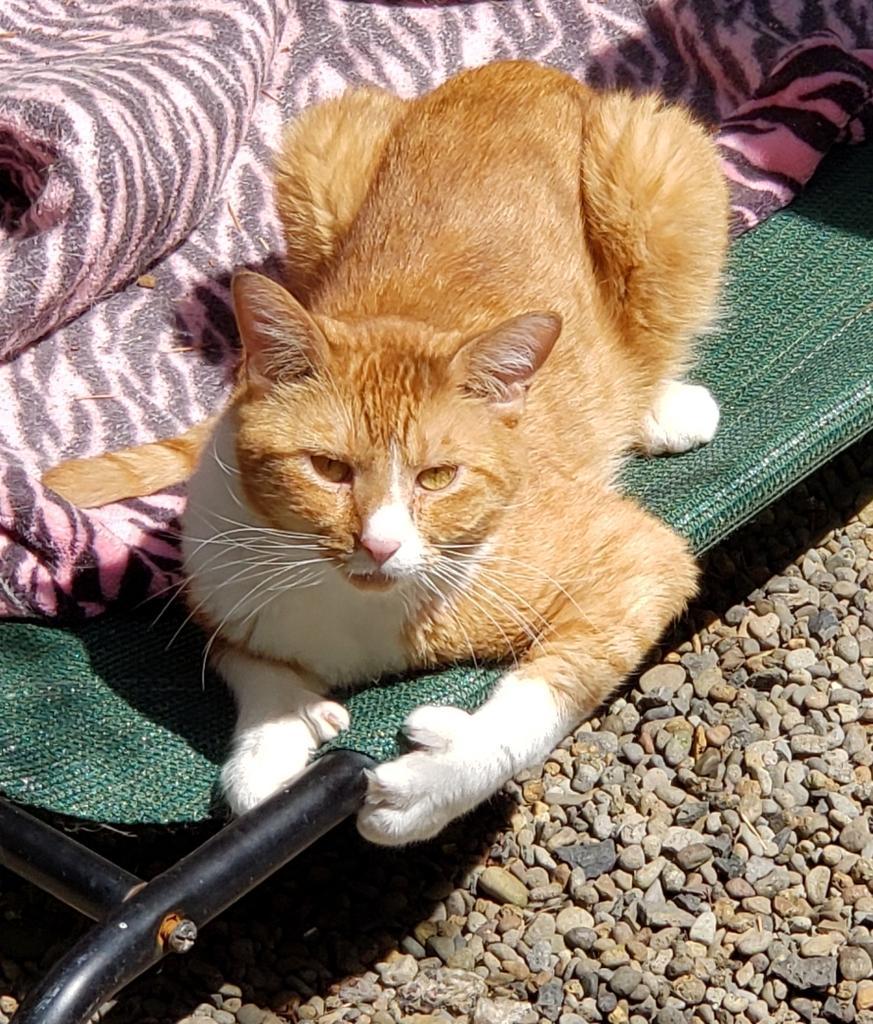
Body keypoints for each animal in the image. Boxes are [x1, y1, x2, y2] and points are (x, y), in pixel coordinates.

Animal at [46, 61, 728, 839]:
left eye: (437, 477)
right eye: (328, 469)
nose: (378, 543)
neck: (353, 613)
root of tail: (521, 69)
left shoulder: (638, 558)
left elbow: (541, 700)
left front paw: (438, 776)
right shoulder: (213, 587)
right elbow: (246, 661)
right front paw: (274, 740)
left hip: (658, 168)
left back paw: (662, 405)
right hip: (318, 150)